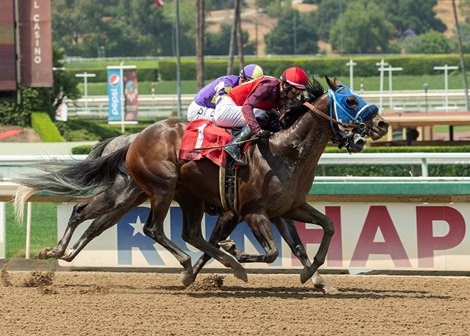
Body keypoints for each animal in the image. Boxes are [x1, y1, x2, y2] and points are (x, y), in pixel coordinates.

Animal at [124, 77, 390, 286]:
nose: (382, 123)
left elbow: (324, 228)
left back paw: (216, 266)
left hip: (189, 196)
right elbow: (272, 252)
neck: (283, 151)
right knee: (153, 229)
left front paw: (314, 276)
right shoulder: (251, 212)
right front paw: (236, 252)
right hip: (163, 188)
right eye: (351, 100)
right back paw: (198, 264)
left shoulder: (289, 208)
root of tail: (138, 136)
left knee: (191, 234)